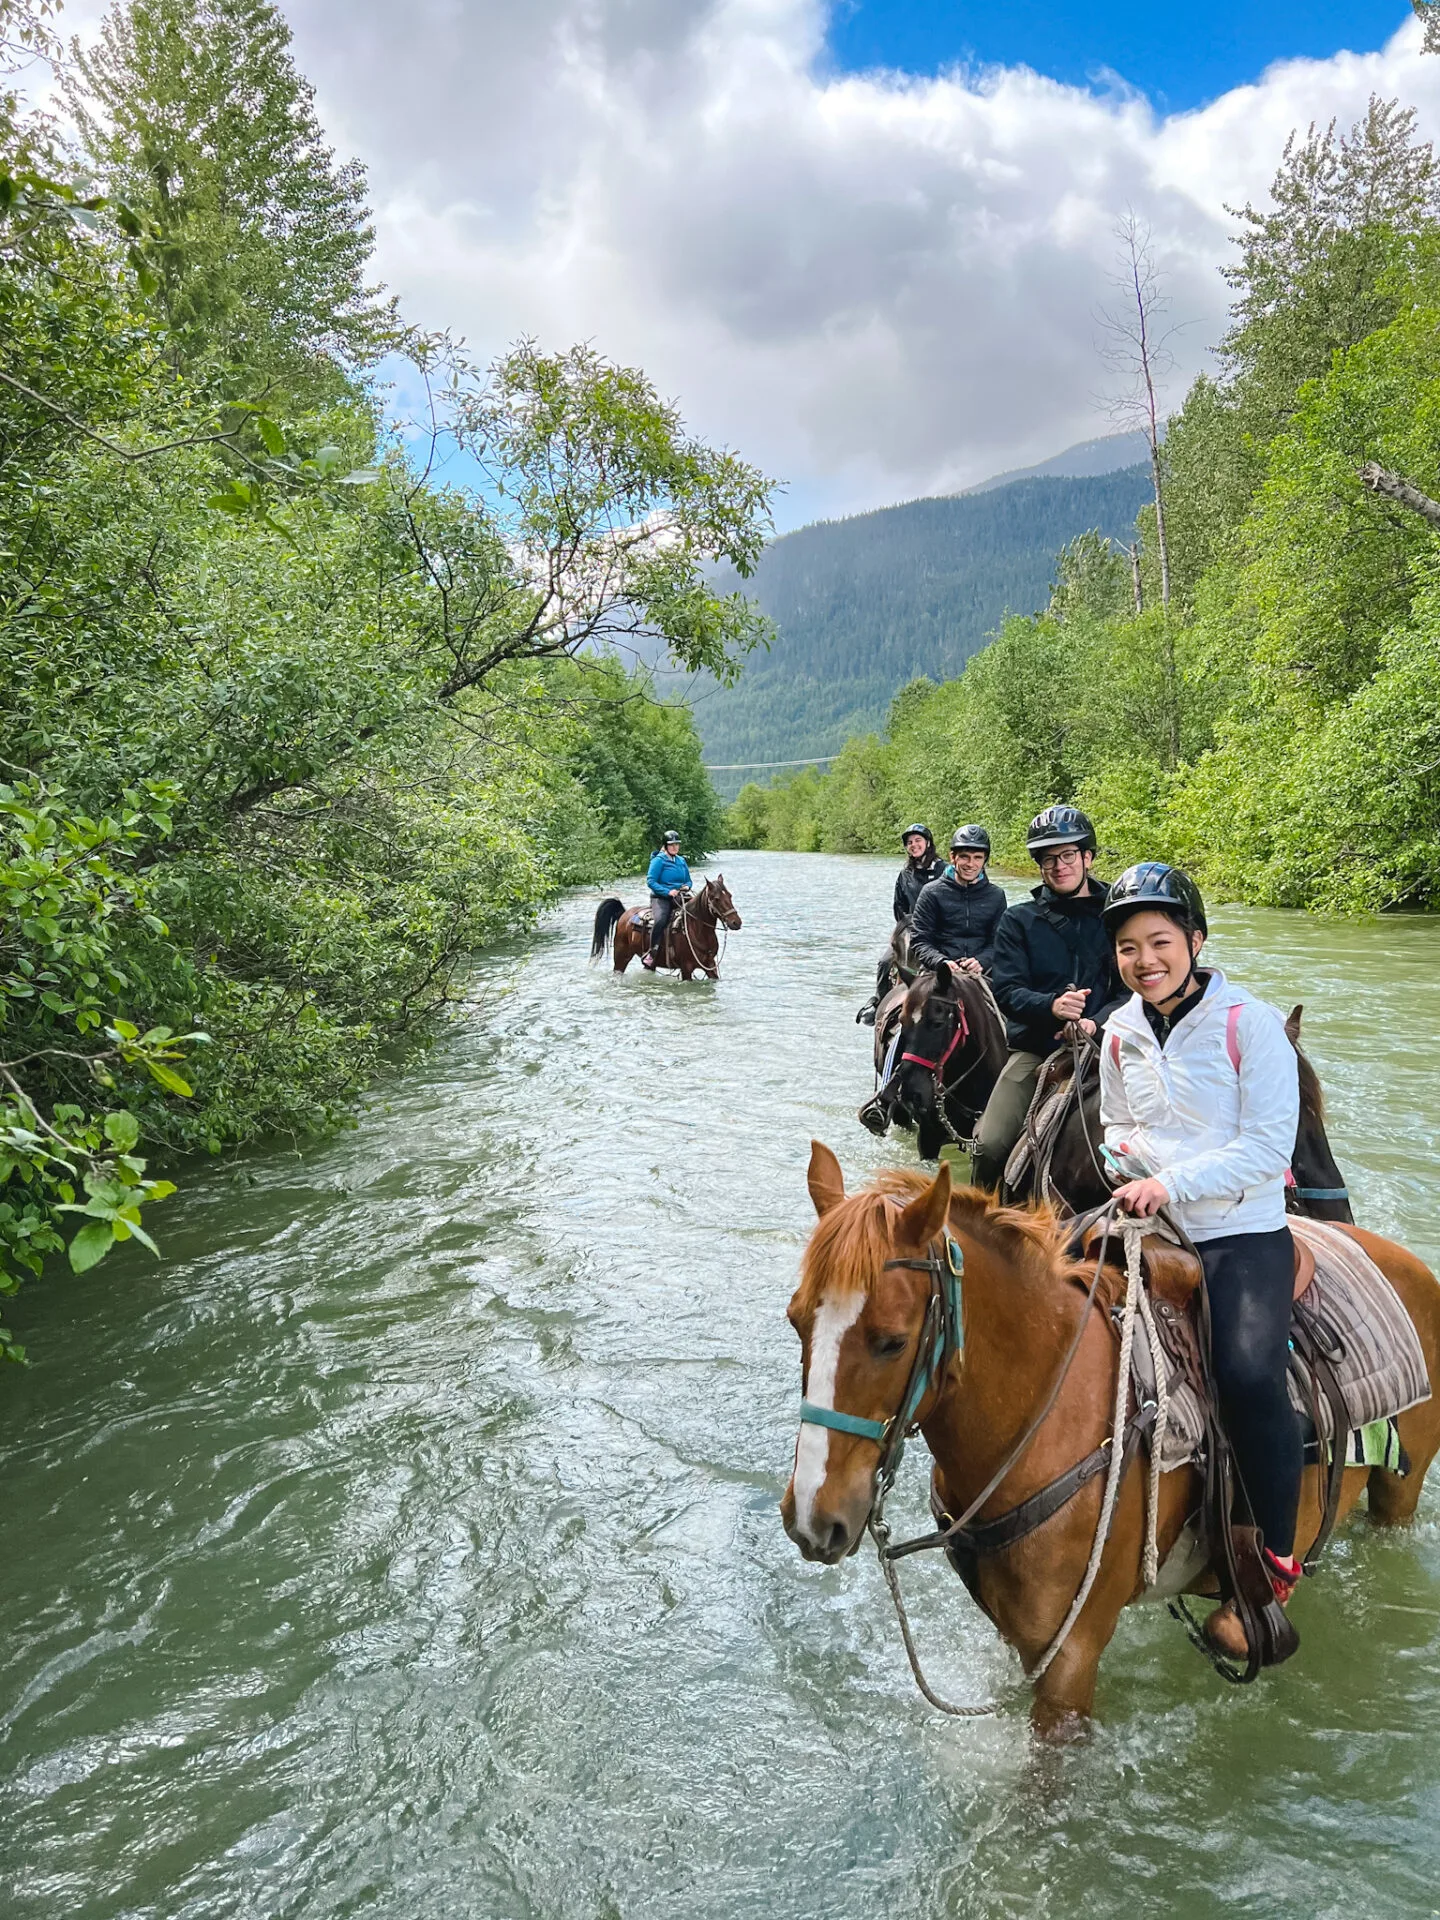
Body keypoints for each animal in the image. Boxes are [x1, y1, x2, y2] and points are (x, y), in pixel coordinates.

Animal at [591, 879, 744, 983]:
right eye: (716, 899)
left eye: (729, 895)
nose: (736, 922)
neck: (697, 930)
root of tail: (624, 914)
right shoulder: (686, 968)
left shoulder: (710, 965)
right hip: (621, 957)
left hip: (649, 963)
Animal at [783, 1152, 1440, 1743]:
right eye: (796, 1320)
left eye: (892, 1341)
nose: (812, 1518)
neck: (1048, 1416)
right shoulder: (1020, 1636)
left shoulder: (1070, 1659)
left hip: (1398, 1492)